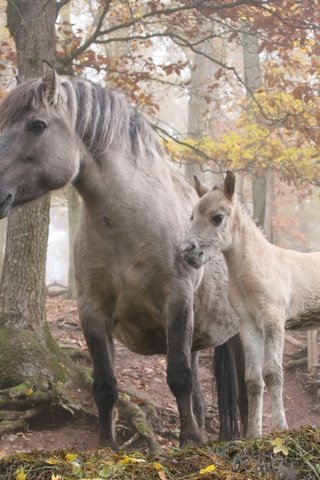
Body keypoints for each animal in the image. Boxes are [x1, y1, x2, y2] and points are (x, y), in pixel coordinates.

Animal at [0, 68, 242, 450]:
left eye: (37, 125)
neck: (130, 224)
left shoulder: (176, 300)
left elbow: (178, 377)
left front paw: (188, 440)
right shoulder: (93, 310)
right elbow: (105, 384)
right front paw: (107, 445)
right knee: (200, 393)